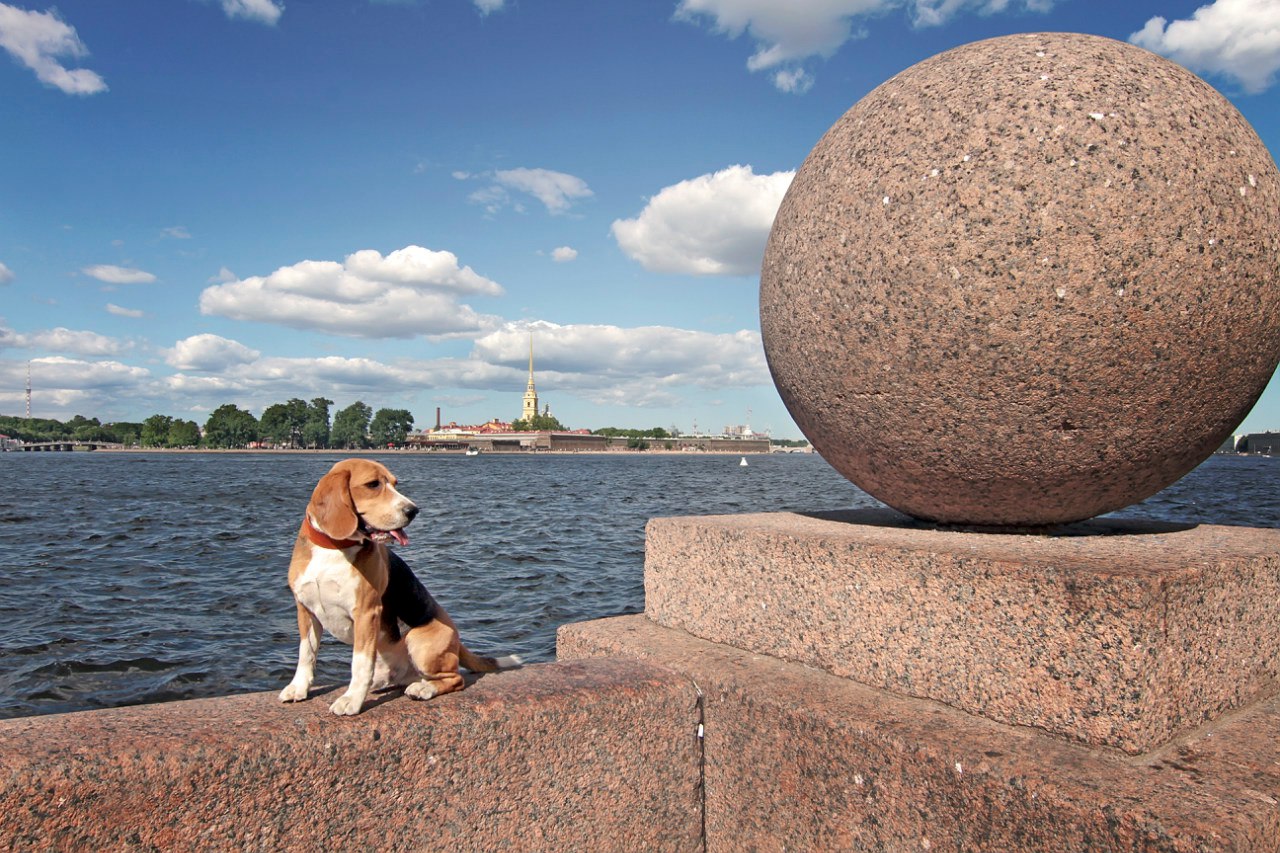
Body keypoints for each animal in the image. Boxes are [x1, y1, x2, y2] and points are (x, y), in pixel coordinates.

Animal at [281, 458, 519, 712]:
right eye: (373, 484)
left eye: (395, 484)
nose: (413, 511)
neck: (334, 548)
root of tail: (457, 639)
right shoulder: (305, 610)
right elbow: (306, 654)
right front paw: (298, 688)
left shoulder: (366, 613)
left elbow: (360, 663)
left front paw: (352, 700)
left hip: (418, 641)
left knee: (455, 679)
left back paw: (424, 689)